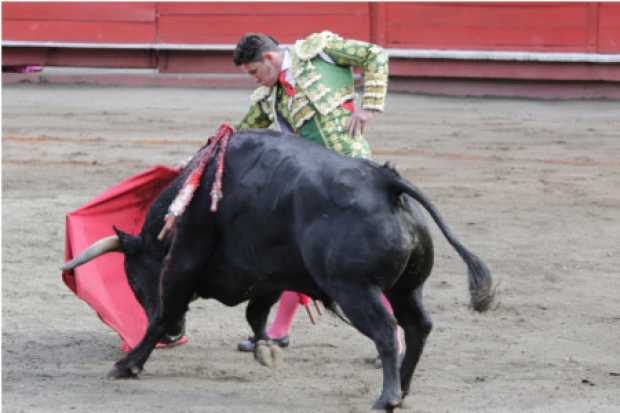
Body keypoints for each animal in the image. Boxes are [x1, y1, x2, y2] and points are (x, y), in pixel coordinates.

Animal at [61, 129, 494, 408]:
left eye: (134, 281)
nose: (175, 336)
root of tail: (385, 183)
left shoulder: (186, 255)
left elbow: (165, 311)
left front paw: (127, 365)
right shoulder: (270, 274)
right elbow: (256, 315)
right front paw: (265, 350)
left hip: (355, 289)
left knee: (387, 331)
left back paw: (386, 398)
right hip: (405, 288)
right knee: (418, 326)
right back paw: (402, 389)